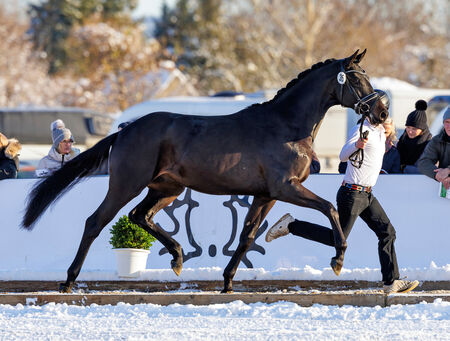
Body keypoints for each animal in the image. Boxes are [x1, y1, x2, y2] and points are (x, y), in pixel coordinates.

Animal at [22, 48, 386, 292]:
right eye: (356, 77)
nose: (381, 112)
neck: (286, 126)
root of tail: (126, 130)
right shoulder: (286, 187)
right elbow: (329, 209)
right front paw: (338, 260)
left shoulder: (266, 194)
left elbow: (247, 235)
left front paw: (226, 282)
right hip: (127, 183)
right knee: (96, 221)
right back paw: (69, 281)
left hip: (167, 188)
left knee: (140, 216)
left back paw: (177, 258)